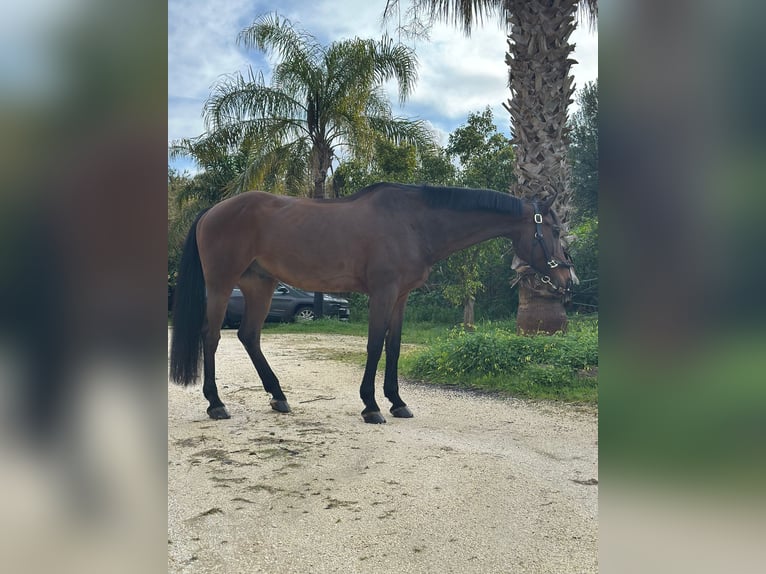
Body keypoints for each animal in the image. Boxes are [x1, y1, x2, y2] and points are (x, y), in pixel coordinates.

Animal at [169, 183, 574, 424]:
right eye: (554, 230)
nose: (568, 281)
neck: (415, 223)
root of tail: (211, 211)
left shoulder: (400, 297)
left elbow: (393, 347)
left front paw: (397, 401)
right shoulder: (383, 293)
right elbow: (375, 345)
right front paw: (372, 405)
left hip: (260, 285)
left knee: (249, 336)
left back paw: (279, 396)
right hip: (221, 285)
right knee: (212, 337)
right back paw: (215, 403)